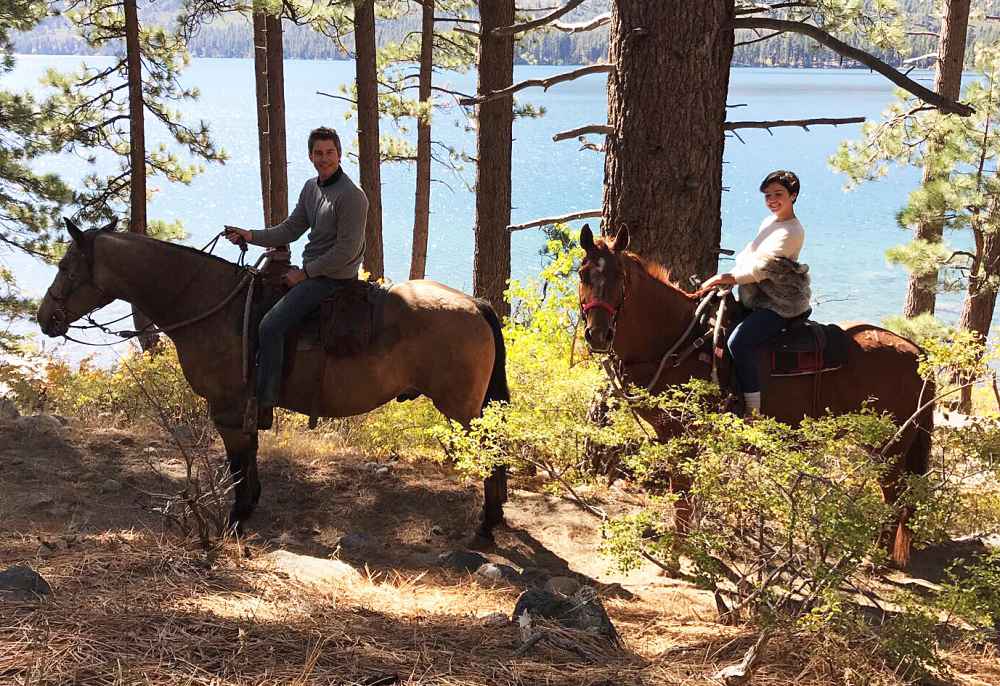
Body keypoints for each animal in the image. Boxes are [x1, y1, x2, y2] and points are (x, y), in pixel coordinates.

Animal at [38, 220, 508, 536]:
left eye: (66, 267)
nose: (45, 317)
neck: (209, 305)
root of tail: (476, 304)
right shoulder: (243, 407)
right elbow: (249, 458)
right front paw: (249, 506)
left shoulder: (227, 407)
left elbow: (238, 462)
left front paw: (237, 517)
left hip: (466, 412)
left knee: (491, 455)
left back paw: (486, 525)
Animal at [576, 223, 932, 568]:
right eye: (583, 275)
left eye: (620, 278)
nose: (598, 334)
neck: (679, 339)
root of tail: (916, 350)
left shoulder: (684, 436)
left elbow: (682, 497)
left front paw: (675, 557)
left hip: (890, 447)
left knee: (894, 497)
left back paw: (876, 560)